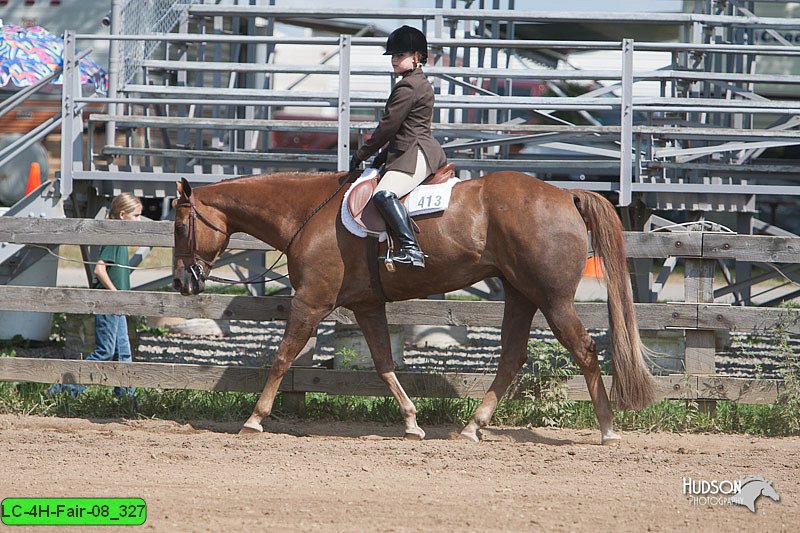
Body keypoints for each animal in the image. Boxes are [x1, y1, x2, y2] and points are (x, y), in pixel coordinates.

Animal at [172, 171, 652, 444]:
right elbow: (384, 363)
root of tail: (564, 194)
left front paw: (254, 419)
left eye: (178, 226)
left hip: (553, 300)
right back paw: (472, 427)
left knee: (585, 351)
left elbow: (282, 357)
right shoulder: (367, 306)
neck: (308, 212)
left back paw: (607, 429)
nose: (180, 282)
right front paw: (411, 422)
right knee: (512, 357)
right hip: (520, 295)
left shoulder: (310, 301)